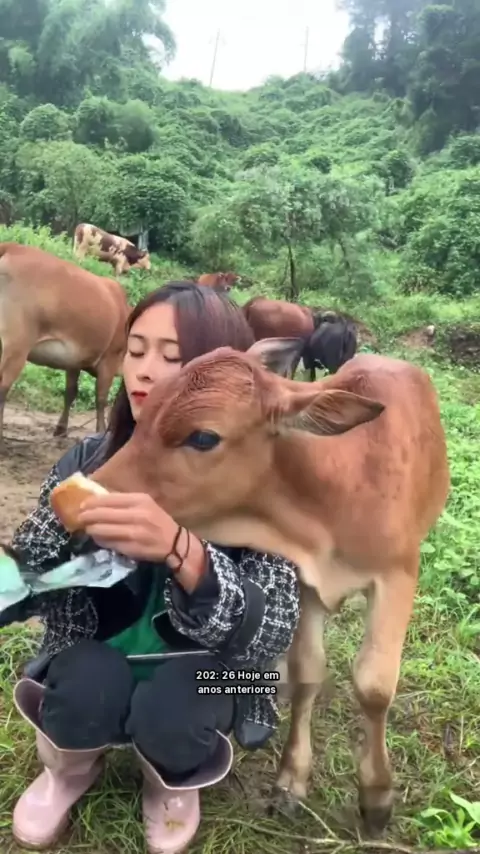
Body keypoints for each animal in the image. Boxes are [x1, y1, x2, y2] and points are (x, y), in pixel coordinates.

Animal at [0, 243, 130, 450]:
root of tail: (12, 246)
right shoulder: (109, 359)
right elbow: (101, 398)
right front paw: (101, 430)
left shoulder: (74, 359)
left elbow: (70, 392)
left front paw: (61, 429)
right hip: (17, 345)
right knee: (3, 385)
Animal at [90, 338, 450, 834]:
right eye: (145, 415)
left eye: (203, 437)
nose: (95, 486)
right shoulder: (307, 581)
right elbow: (307, 673)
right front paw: (291, 779)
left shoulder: (397, 575)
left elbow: (375, 687)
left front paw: (377, 797)